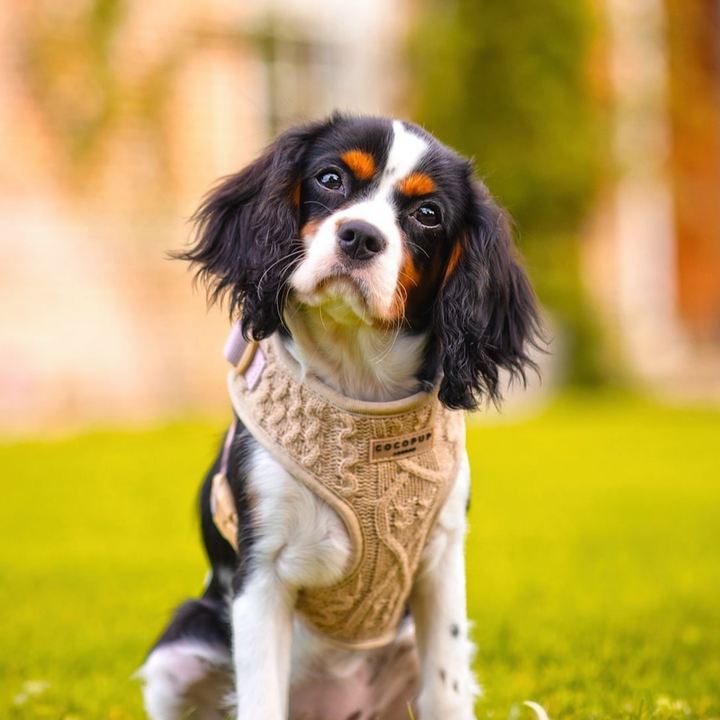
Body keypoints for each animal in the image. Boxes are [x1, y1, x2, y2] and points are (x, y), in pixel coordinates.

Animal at [138, 114, 540, 720]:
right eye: (331, 178)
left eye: (428, 213)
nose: (360, 236)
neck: (360, 389)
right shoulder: (261, 572)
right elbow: (260, 697)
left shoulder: (441, 560)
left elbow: (446, 688)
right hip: (178, 649)